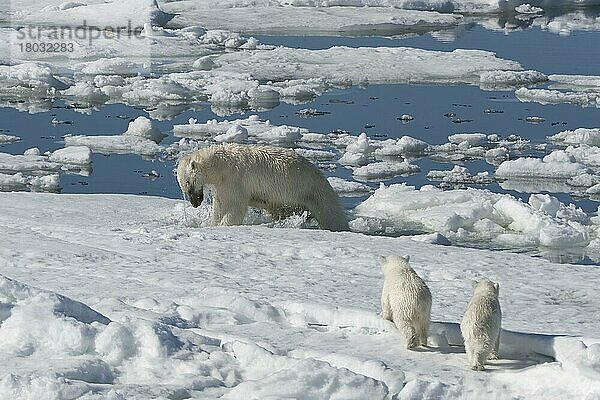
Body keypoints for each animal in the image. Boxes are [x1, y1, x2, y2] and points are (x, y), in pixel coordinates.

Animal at [176, 143, 350, 231]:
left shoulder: (235, 179)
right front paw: (212, 223)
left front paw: (223, 225)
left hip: (314, 192)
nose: (194, 203)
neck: (220, 164)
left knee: (331, 215)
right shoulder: (222, 184)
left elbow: (235, 207)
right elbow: (220, 205)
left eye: (188, 183)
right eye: (184, 187)